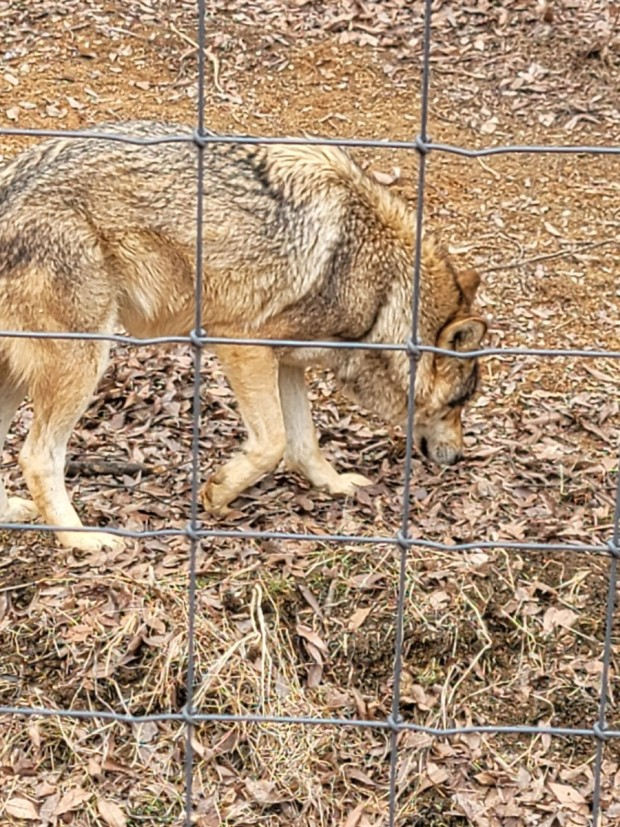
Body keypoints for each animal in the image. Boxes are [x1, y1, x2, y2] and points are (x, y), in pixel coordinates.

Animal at [0, 123, 486, 548]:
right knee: (38, 457)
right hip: (85, 361)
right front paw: (218, 493)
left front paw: (335, 485)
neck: (383, 286)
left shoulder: (286, 361)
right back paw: (81, 540)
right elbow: (273, 443)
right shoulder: (242, 345)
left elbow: (304, 444)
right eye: (458, 404)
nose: (460, 456)